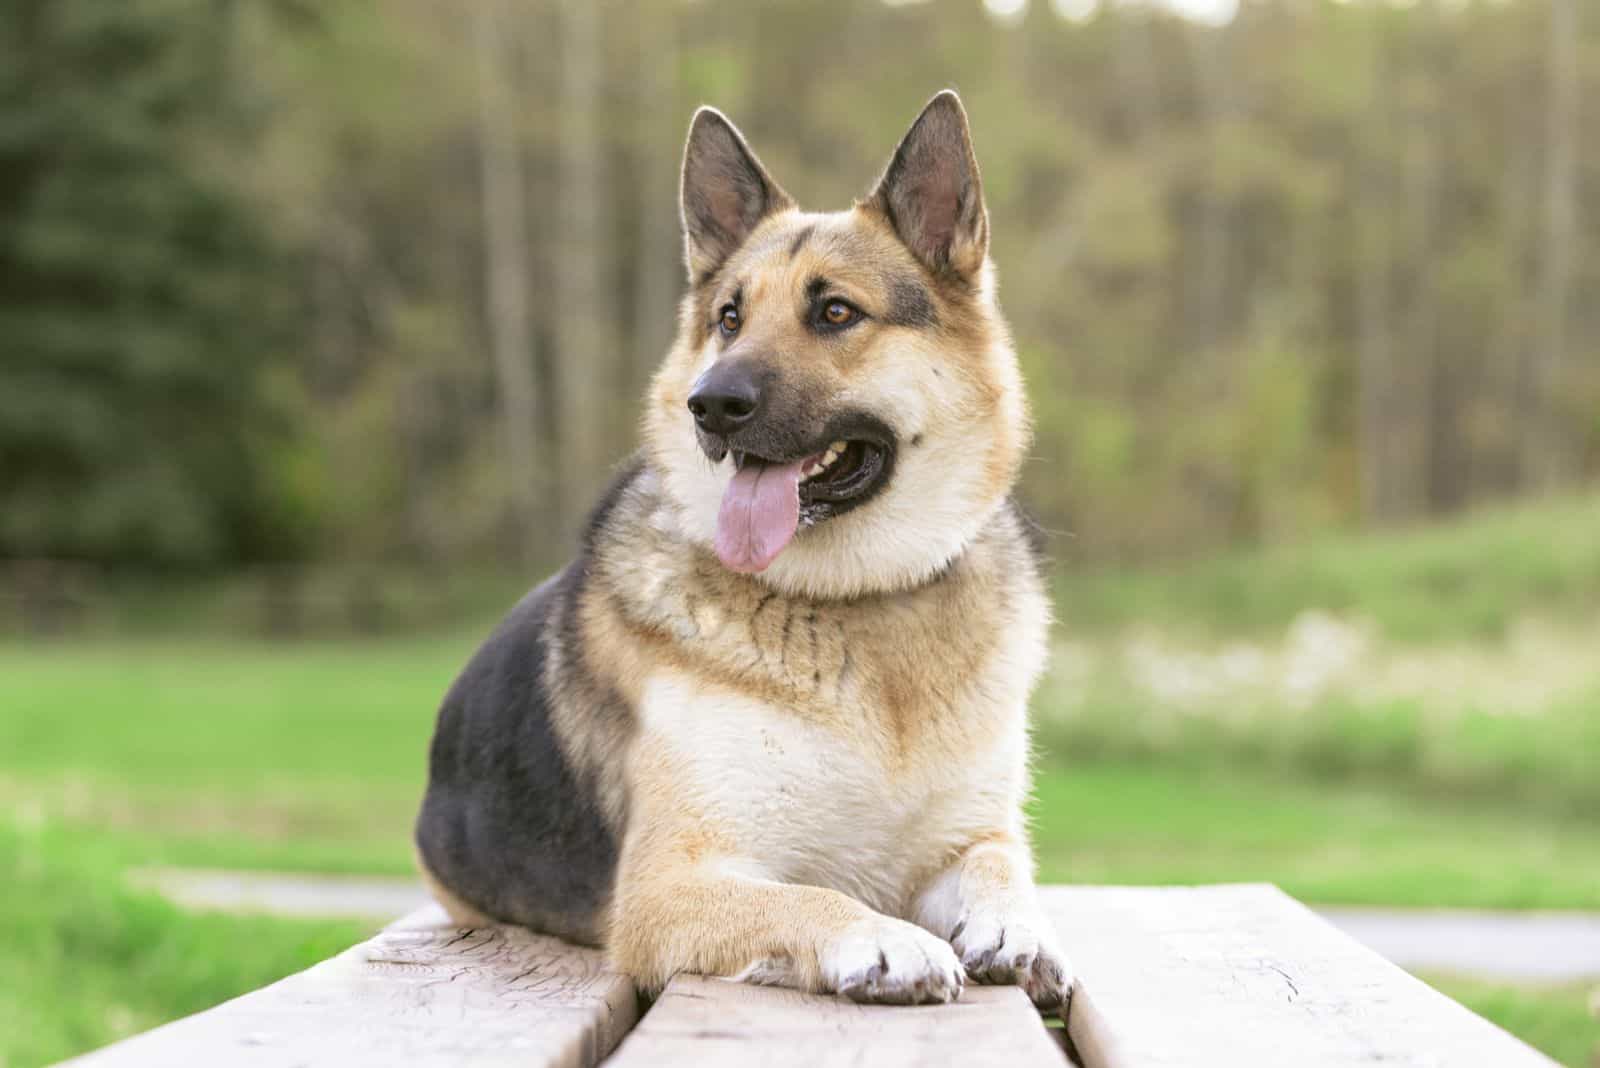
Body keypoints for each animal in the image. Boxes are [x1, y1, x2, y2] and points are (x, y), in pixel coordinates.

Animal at [416, 91, 1075, 1010]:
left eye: (835, 312)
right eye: (729, 318)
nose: (711, 404)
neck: (858, 606)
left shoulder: (970, 838)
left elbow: (1002, 870)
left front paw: (1022, 928)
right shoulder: (670, 886)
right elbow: (810, 896)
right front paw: (885, 940)